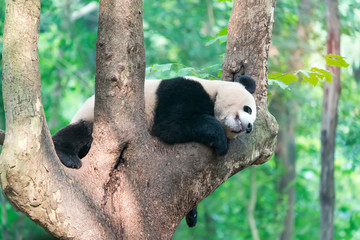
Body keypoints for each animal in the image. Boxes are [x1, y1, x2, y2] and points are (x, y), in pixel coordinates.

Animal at [52, 75, 258, 227]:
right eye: (248, 109)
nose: (249, 127)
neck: (214, 92)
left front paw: (192, 213)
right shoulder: (182, 91)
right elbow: (171, 125)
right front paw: (221, 141)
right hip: (94, 120)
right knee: (78, 133)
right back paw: (67, 156)